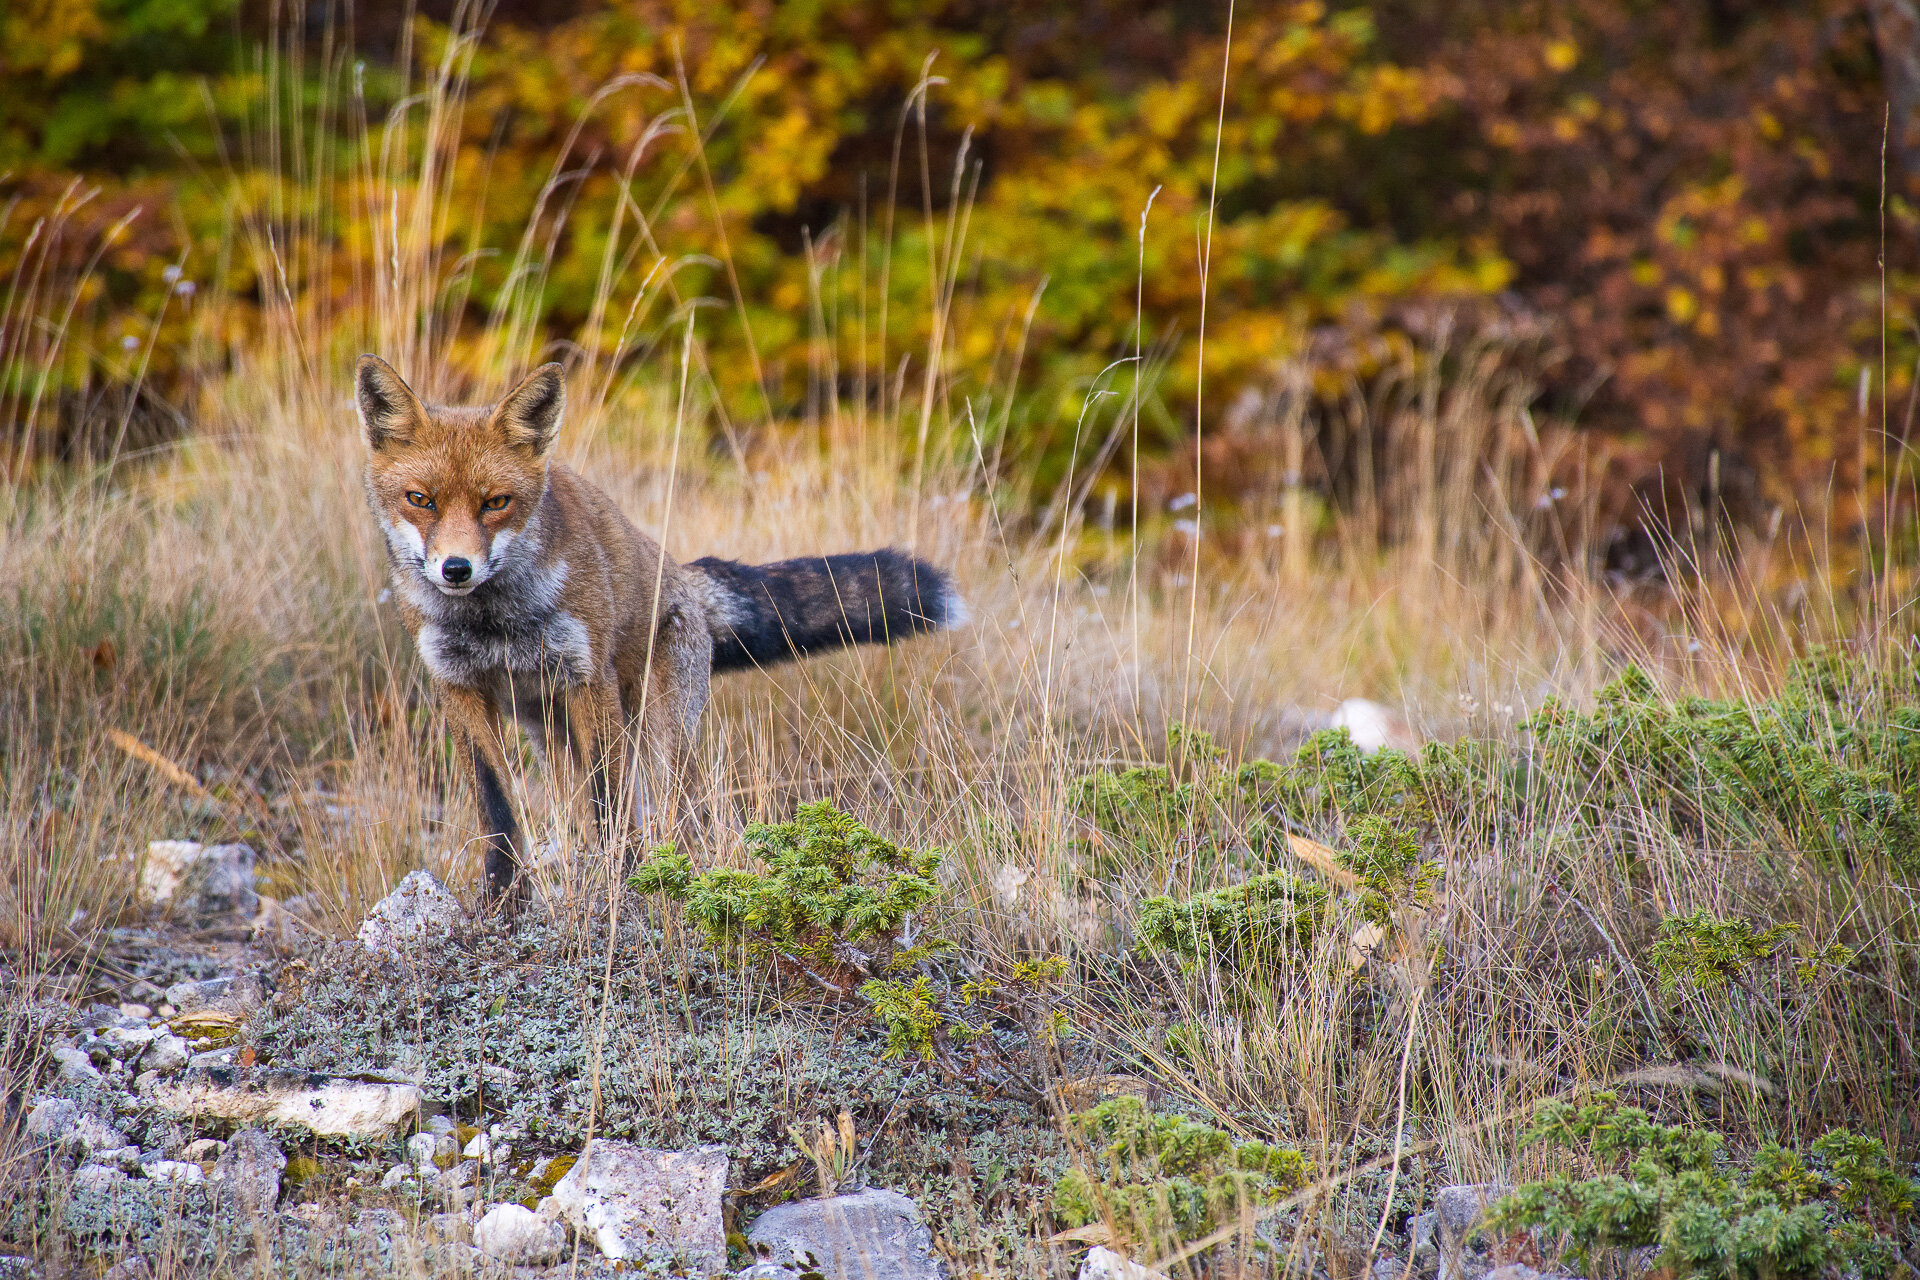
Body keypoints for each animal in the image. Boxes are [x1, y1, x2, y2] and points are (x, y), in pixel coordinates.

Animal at [354, 354, 965, 901]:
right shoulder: (458, 686)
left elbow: (610, 802)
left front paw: (621, 885)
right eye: (420, 500)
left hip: (659, 736)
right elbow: (497, 809)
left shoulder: (587, 677)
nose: (456, 569)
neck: (493, 621)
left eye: (496, 503)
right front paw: (503, 900)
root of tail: (686, 577)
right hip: (551, 735)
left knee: (682, 816)